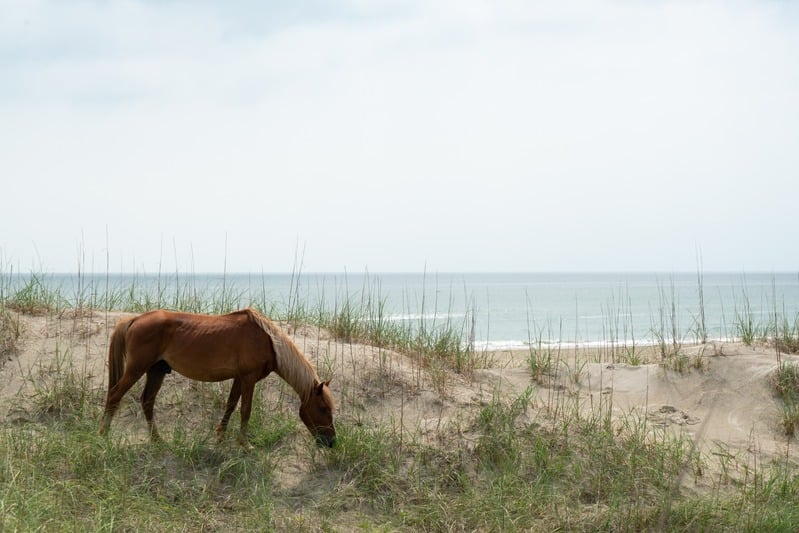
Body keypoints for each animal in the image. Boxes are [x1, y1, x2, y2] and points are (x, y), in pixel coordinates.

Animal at [98, 308, 336, 448]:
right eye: (323, 408)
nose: (332, 442)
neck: (268, 341)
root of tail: (135, 319)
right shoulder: (248, 379)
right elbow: (245, 410)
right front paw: (244, 444)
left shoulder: (239, 379)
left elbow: (231, 405)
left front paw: (220, 435)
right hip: (136, 369)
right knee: (115, 396)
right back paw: (104, 435)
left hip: (156, 371)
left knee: (147, 401)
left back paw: (157, 440)